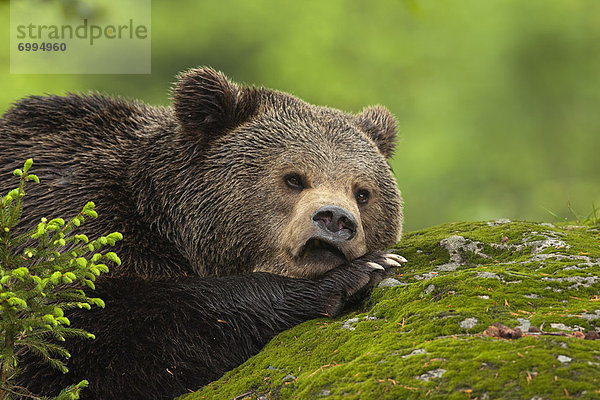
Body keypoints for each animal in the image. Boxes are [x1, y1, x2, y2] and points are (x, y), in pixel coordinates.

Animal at [0, 67, 406, 398]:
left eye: (362, 192)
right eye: (293, 178)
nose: (335, 218)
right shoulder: (68, 211)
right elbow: (80, 340)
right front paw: (359, 272)